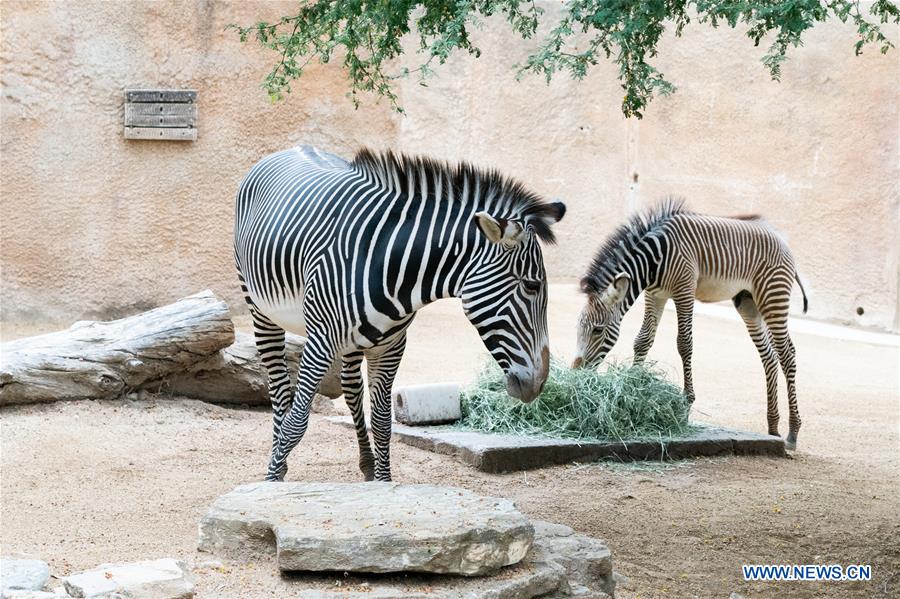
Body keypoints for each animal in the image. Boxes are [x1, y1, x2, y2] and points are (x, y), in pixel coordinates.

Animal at [236, 146, 568, 482]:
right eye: (531, 285)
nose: (540, 383)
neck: (391, 266)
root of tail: (292, 148)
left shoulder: (391, 346)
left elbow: (383, 423)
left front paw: (384, 483)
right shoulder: (321, 340)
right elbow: (297, 422)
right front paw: (271, 481)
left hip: (356, 338)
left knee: (351, 388)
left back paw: (367, 464)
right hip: (260, 310)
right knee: (279, 391)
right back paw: (279, 460)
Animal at [572, 202, 812, 450]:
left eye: (598, 330)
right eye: (577, 328)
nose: (576, 375)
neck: (655, 258)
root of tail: (781, 239)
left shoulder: (684, 291)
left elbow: (684, 344)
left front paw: (686, 406)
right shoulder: (655, 295)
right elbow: (642, 340)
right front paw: (633, 386)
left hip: (773, 296)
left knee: (787, 354)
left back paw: (792, 432)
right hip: (748, 303)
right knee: (769, 356)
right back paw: (773, 428)